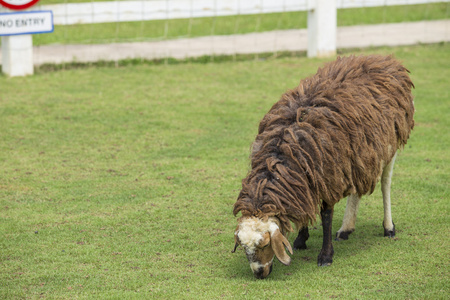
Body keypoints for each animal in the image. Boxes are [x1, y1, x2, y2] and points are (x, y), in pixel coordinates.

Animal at [232, 54, 414, 278]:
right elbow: (304, 207)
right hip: (360, 153)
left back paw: (388, 227)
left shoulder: (327, 177)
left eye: (266, 244)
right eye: (243, 247)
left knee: (385, 183)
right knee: (358, 186)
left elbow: (326, 216)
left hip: (390, 144)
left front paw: (326, 256)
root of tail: (384, 59)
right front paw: (301, 239)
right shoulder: (307, 180)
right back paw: (346, 228)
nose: (259, 273)